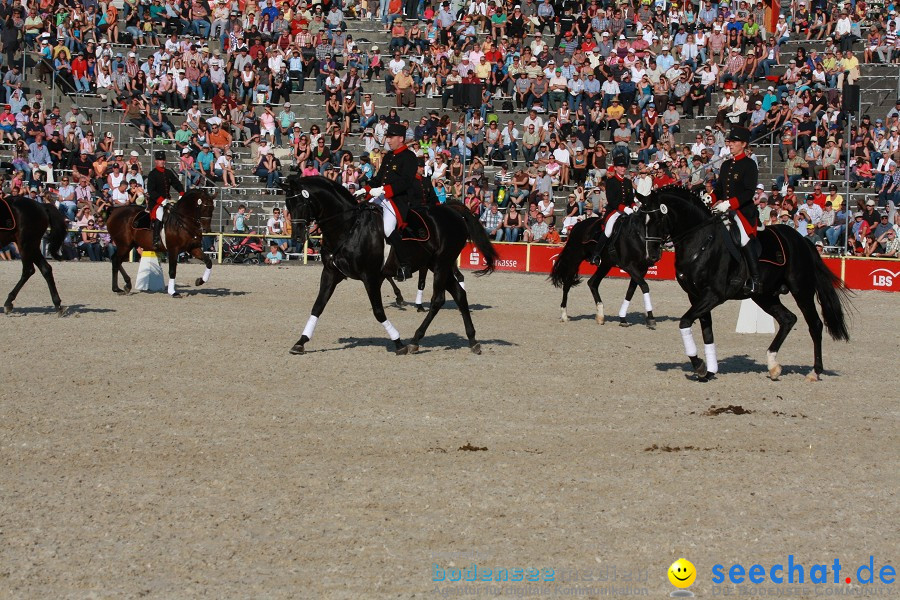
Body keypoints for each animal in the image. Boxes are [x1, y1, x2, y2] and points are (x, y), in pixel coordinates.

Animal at [284, 173, 500, 354]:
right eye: (288, 204)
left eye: (302, 202)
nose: (296, 237)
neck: (349, 227)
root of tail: (452, 211)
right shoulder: (331, 273)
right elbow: (317, 307)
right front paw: (301, 342)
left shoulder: (370, 277)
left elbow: (379, 312)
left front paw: (398, 342)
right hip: (437, 265)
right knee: (459, 294)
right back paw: (472, 340)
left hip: (442, 264)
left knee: (438, 299)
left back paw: (415, 340)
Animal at [644, 185, 848, 380]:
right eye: (640, 218)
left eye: (656, 218)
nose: (651, 255)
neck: (701, 241)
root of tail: (802, 240)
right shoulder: (696, 296)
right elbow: (707, 332)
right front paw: (709, 371)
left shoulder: (713, 295)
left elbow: (685, 322)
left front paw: (699, 366)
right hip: (765, 296)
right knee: (788, 319)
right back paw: (773, 366)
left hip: (801, 291)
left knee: (815, 324)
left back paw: (815, 371)